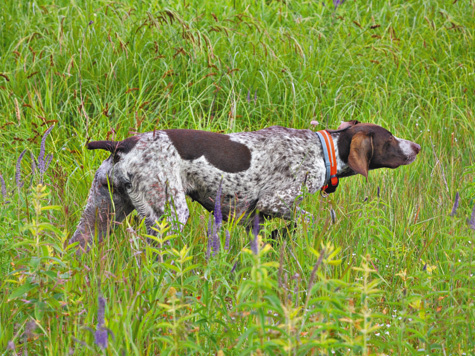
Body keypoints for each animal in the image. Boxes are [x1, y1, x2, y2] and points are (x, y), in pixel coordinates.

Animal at [69, 121, 420, 249]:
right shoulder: (275, 201)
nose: (416, 147)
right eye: (390, 139)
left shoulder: (251, 217)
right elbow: (308, 218)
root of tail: (123, 145)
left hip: (97, 217)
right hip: (169, 215)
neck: (323, 150)